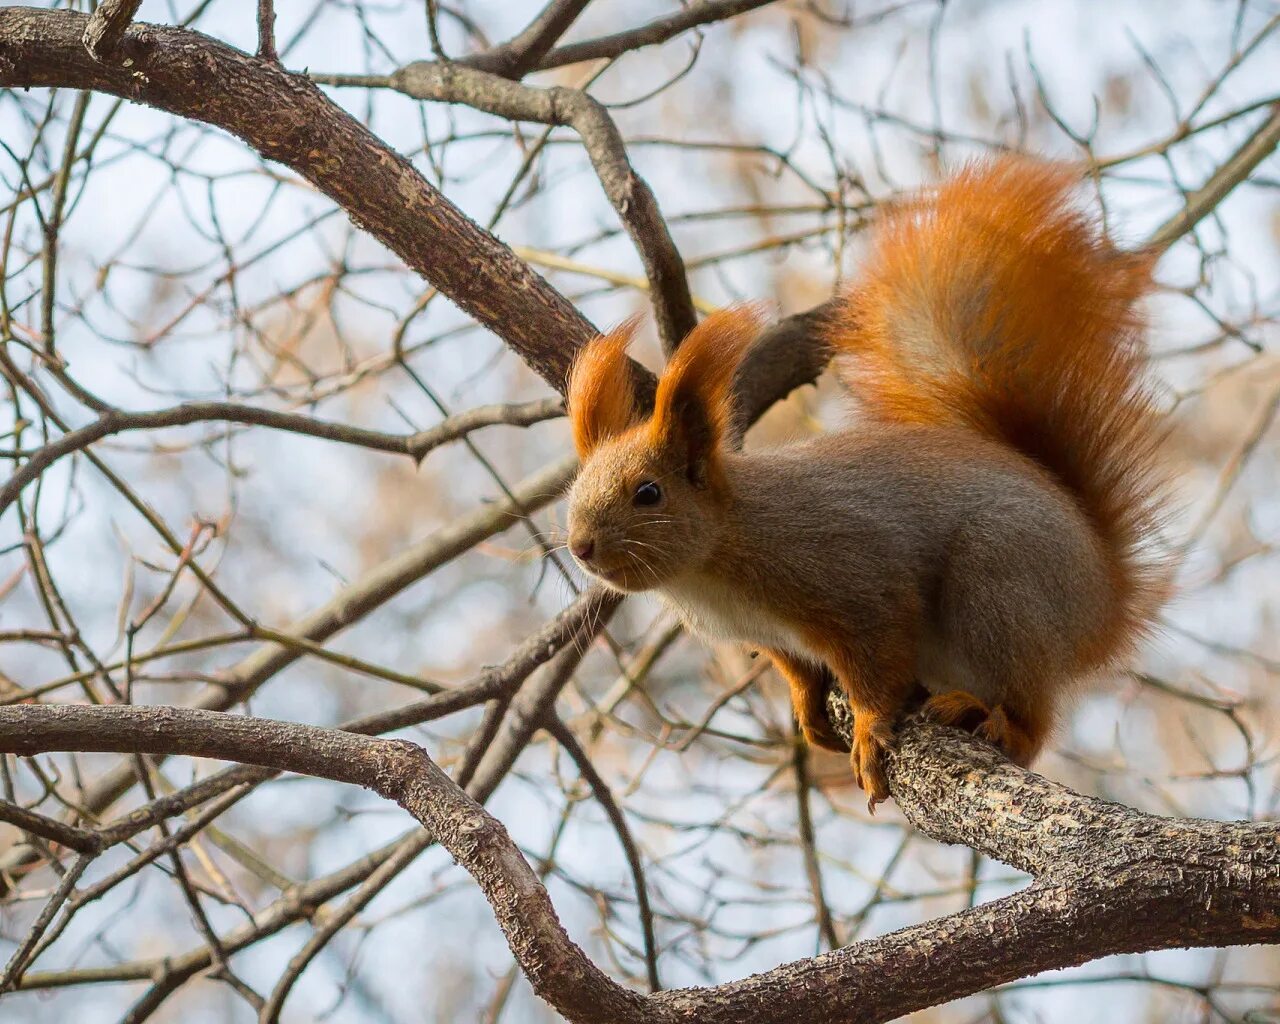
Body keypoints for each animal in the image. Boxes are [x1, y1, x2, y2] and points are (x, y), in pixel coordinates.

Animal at [565, 160, 1167, 814]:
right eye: (571, 495)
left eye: (649, 493)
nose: (580, 547)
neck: (717, 557)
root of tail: (1106, 599)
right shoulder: (774, 637)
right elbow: (801, 670)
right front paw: (808, 707)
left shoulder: (853, 581)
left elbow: (877, 663)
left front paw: (873, 731)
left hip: (1000, 583)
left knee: (1030, 716)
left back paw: (992, 718)